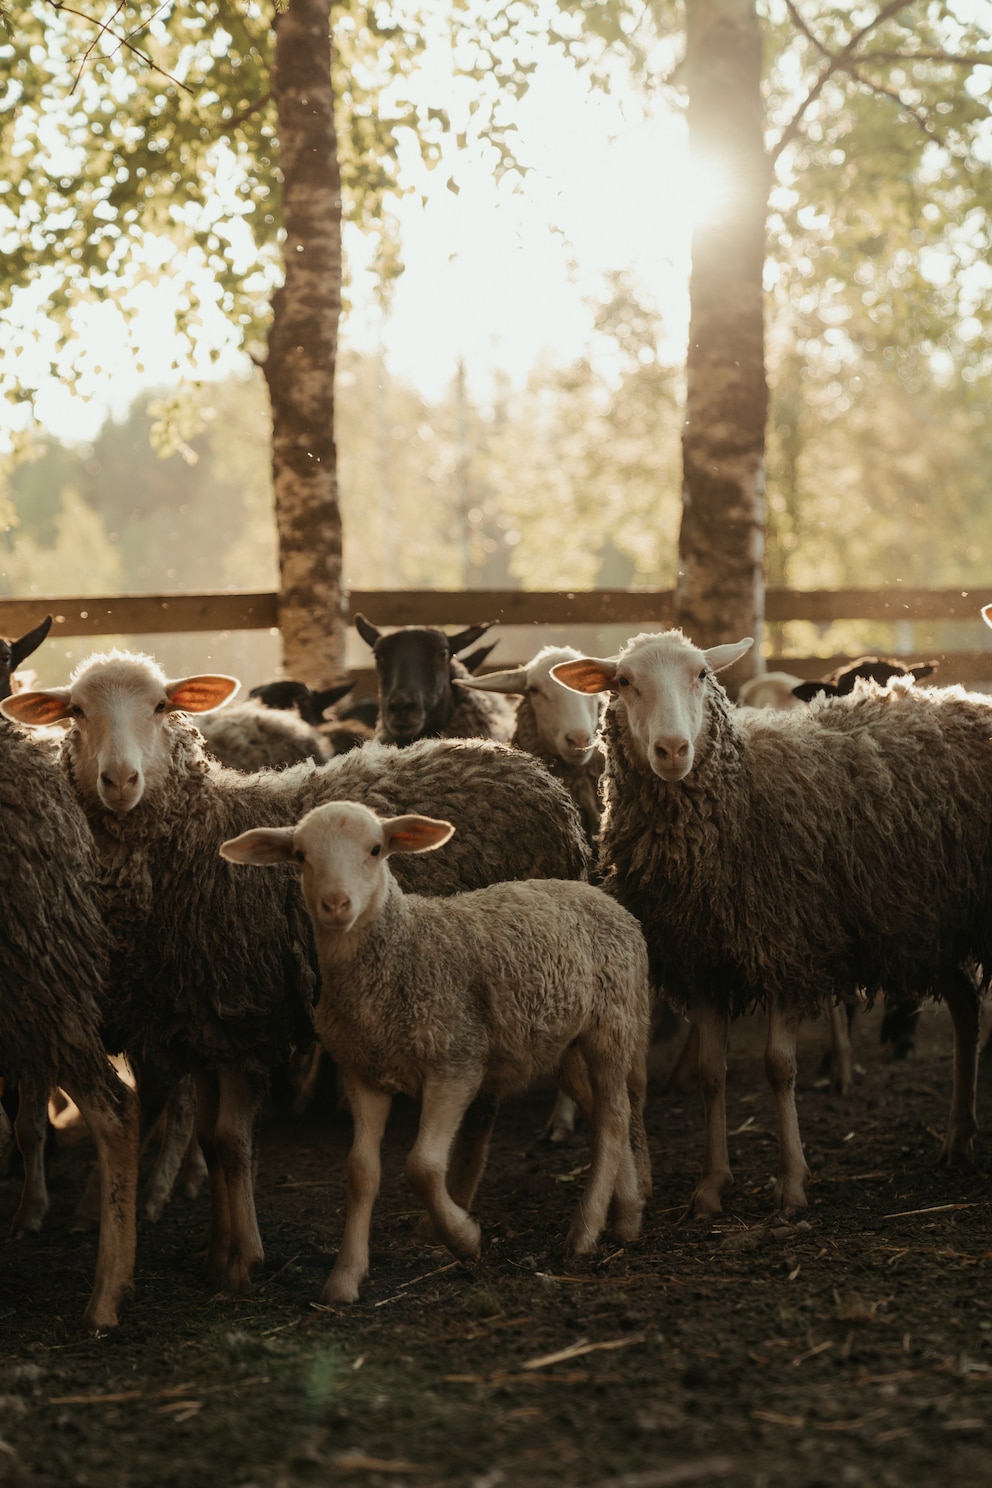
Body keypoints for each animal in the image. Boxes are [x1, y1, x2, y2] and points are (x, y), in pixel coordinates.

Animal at [0, 651, 588, 1291]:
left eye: (160, 705)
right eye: (77, 712)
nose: (119, 782)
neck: (197, 845)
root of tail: (525, 766)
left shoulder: (245, 1017)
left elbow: (232, 1142)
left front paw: (243, 1258)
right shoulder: (201, 1020)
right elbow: (209, 1138)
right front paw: (216, 1249)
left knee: (482, 1111)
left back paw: (452, 1215)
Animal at [218, 803, 651, 1303]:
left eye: (376, 849)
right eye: (301, 856)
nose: (336, 905)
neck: (401, 955)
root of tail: (603, 896)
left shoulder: (455, 1062)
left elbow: (422, 1167)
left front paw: (465, 1239)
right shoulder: (362, 1073)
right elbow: (361, 1172)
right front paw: (345, 1277)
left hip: (612, 1023)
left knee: (615, 1116)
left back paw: (584, 1232)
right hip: (563, 1044)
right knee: (603, 1112)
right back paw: (626, 1217)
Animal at [556, 627, 992, 1220]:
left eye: (701, 674)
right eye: (623, 682)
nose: (672, 750)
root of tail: (966, 698)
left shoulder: (787, 943)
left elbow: (779, 1065)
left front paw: (791, 1183)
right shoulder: (703, 963)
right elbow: (711, 1072)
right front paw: (711, 1186)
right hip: (928, 925)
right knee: (967, 1010)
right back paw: (957, 1138)